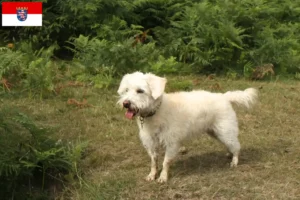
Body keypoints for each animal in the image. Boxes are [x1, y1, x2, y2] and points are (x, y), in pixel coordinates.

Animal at [117, 72, 258, 183]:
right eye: (126, 90)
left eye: (140, 91)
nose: (126, 103)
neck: (156, 112)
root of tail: (224, 96)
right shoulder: (151, 143)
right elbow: (153, 161)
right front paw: (152, 175)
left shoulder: (172, 143)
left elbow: (165, 162)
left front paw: (163, 177)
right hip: (216, 132)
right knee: (231, 144)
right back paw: (229, 153)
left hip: (225, 131)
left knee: (236, 146)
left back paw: (234, 161)